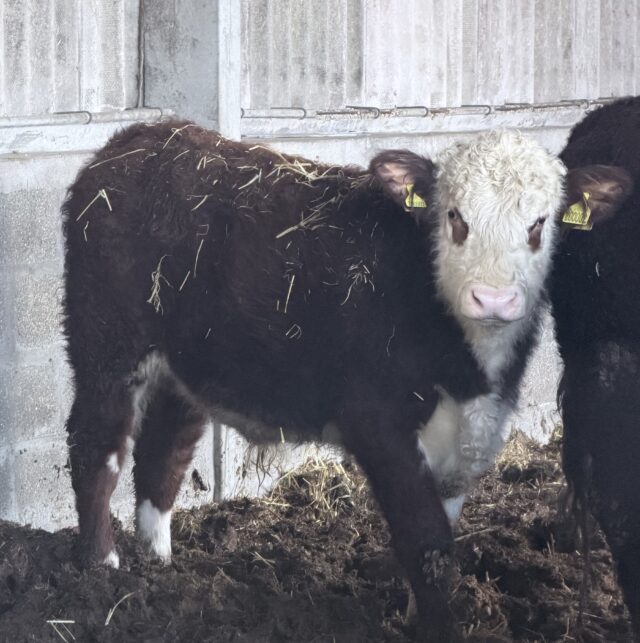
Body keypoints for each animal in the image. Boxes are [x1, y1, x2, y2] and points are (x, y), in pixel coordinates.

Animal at [61, 121, 614, 641]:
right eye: (455, 217)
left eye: (538, 224)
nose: (492, 299)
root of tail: (138, 138)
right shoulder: (380, 426)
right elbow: (427, 541)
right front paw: (438, 628)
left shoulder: (470, 432)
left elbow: (443, 538)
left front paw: (414, 615)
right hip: (106, 343)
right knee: (97, 448)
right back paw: (102, 567)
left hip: (184, 366)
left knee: (164, 453)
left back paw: (157, 567)